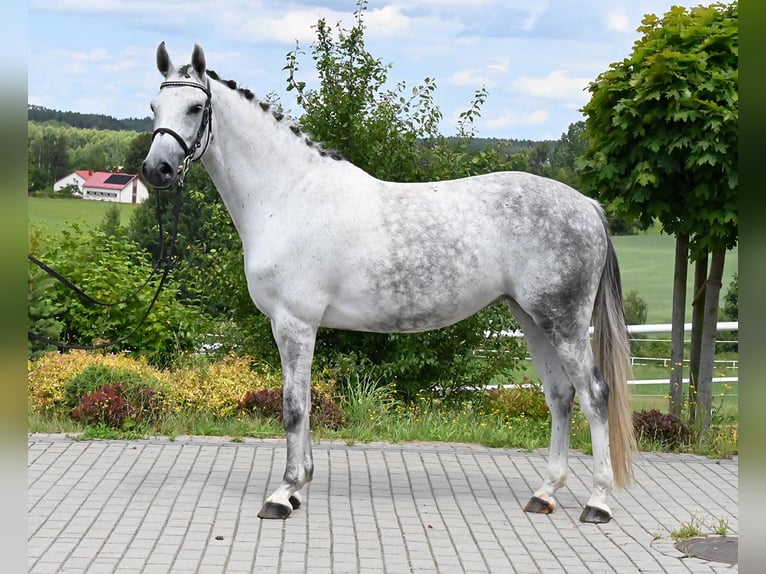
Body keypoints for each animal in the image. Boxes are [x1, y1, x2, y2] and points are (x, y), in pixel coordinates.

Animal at [142, 42, 636, 524]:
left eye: (194, 107)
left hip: (564, 322)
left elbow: (293, 406)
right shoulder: (297, 327)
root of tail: (587, 205)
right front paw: (299, 488)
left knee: (594, 395)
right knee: (560, 395)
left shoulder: (293, 324)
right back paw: (544, 493)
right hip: (532, 319)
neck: (288, 195)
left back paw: (598, 502)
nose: (156, 170)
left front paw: (283, 494)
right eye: (153, 106)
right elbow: (304, 404)